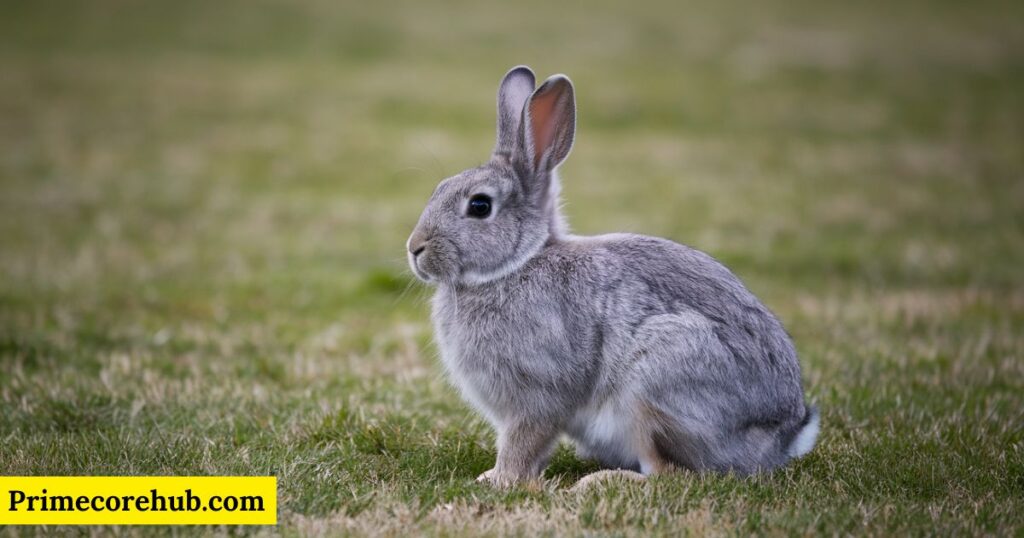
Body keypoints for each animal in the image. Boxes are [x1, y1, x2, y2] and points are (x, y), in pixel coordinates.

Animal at [405, 65, 815, 483]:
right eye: (439, 188)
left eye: (480, 206)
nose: (414, 249)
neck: (518, 263)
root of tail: (781, 439)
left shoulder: (539, 392)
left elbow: (524, 441)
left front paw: (499, 481)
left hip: (656, 384)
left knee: (668, 472)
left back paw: (599, 482)